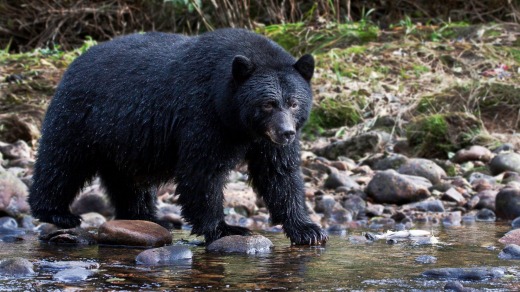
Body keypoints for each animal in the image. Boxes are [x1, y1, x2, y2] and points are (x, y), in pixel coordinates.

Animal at [29, 29, 324, 244]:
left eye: (294, 103)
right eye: (268, 104)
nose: (286, 133)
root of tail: (73, 64)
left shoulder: (264, 140)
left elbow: (279, 173)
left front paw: (307, 229)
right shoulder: (202, 115)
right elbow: (202, 171)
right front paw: (225, 228)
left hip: (125, 139)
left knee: (128, 179)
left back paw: (146, 216)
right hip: (80, 117)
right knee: (62, 162)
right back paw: (56, 212)